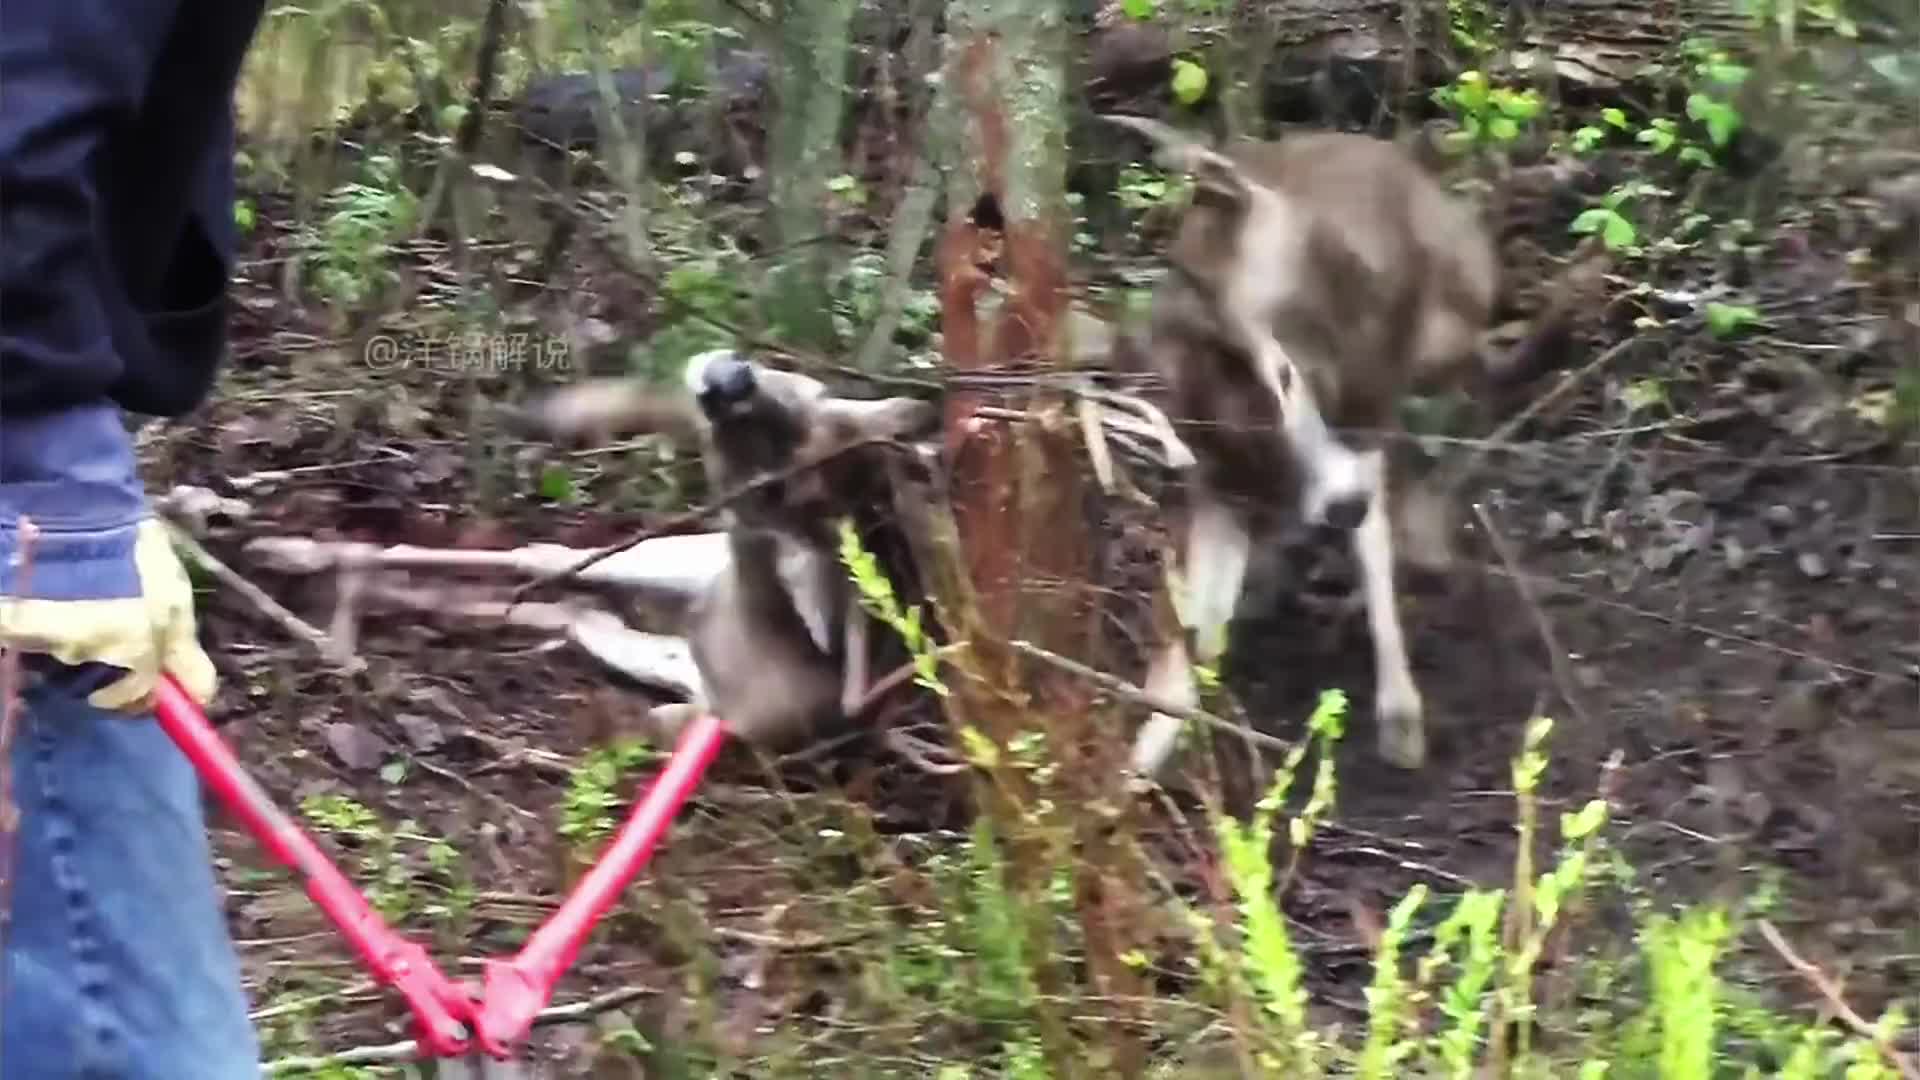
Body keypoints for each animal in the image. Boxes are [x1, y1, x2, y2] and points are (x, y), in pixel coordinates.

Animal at [1096, 114, 1512, 780]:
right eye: (1209, 434)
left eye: (1287, 375)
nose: (1339, 505)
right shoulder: (1221, 483)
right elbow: (1194, 625)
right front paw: (1135, 763)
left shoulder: (1366, 404)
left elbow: (1375, 548)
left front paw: (1402, 720)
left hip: (1450, 324)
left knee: (1472, 384)